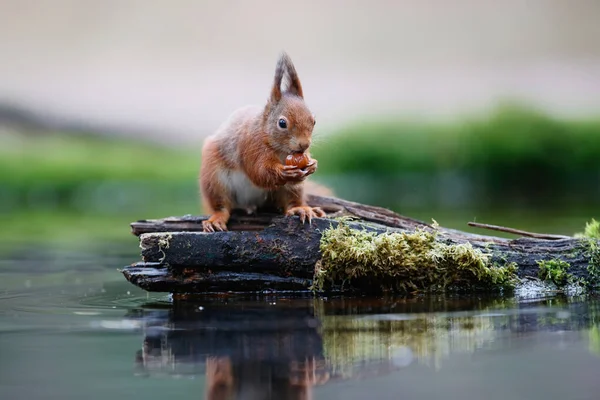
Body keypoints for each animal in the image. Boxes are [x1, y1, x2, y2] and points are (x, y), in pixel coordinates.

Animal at [199, 53, 326, 231]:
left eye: (313, 121)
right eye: (282, 123)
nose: (304, 145)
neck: (280, 149)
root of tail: (251, 203)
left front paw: (312, 165)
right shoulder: (251, 145)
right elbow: (259, 172)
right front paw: (284, 172)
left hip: (289, 191)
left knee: (291, 200)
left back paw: (300, 208)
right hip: (213, 179)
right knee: (221, 205)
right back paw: (216, 219)